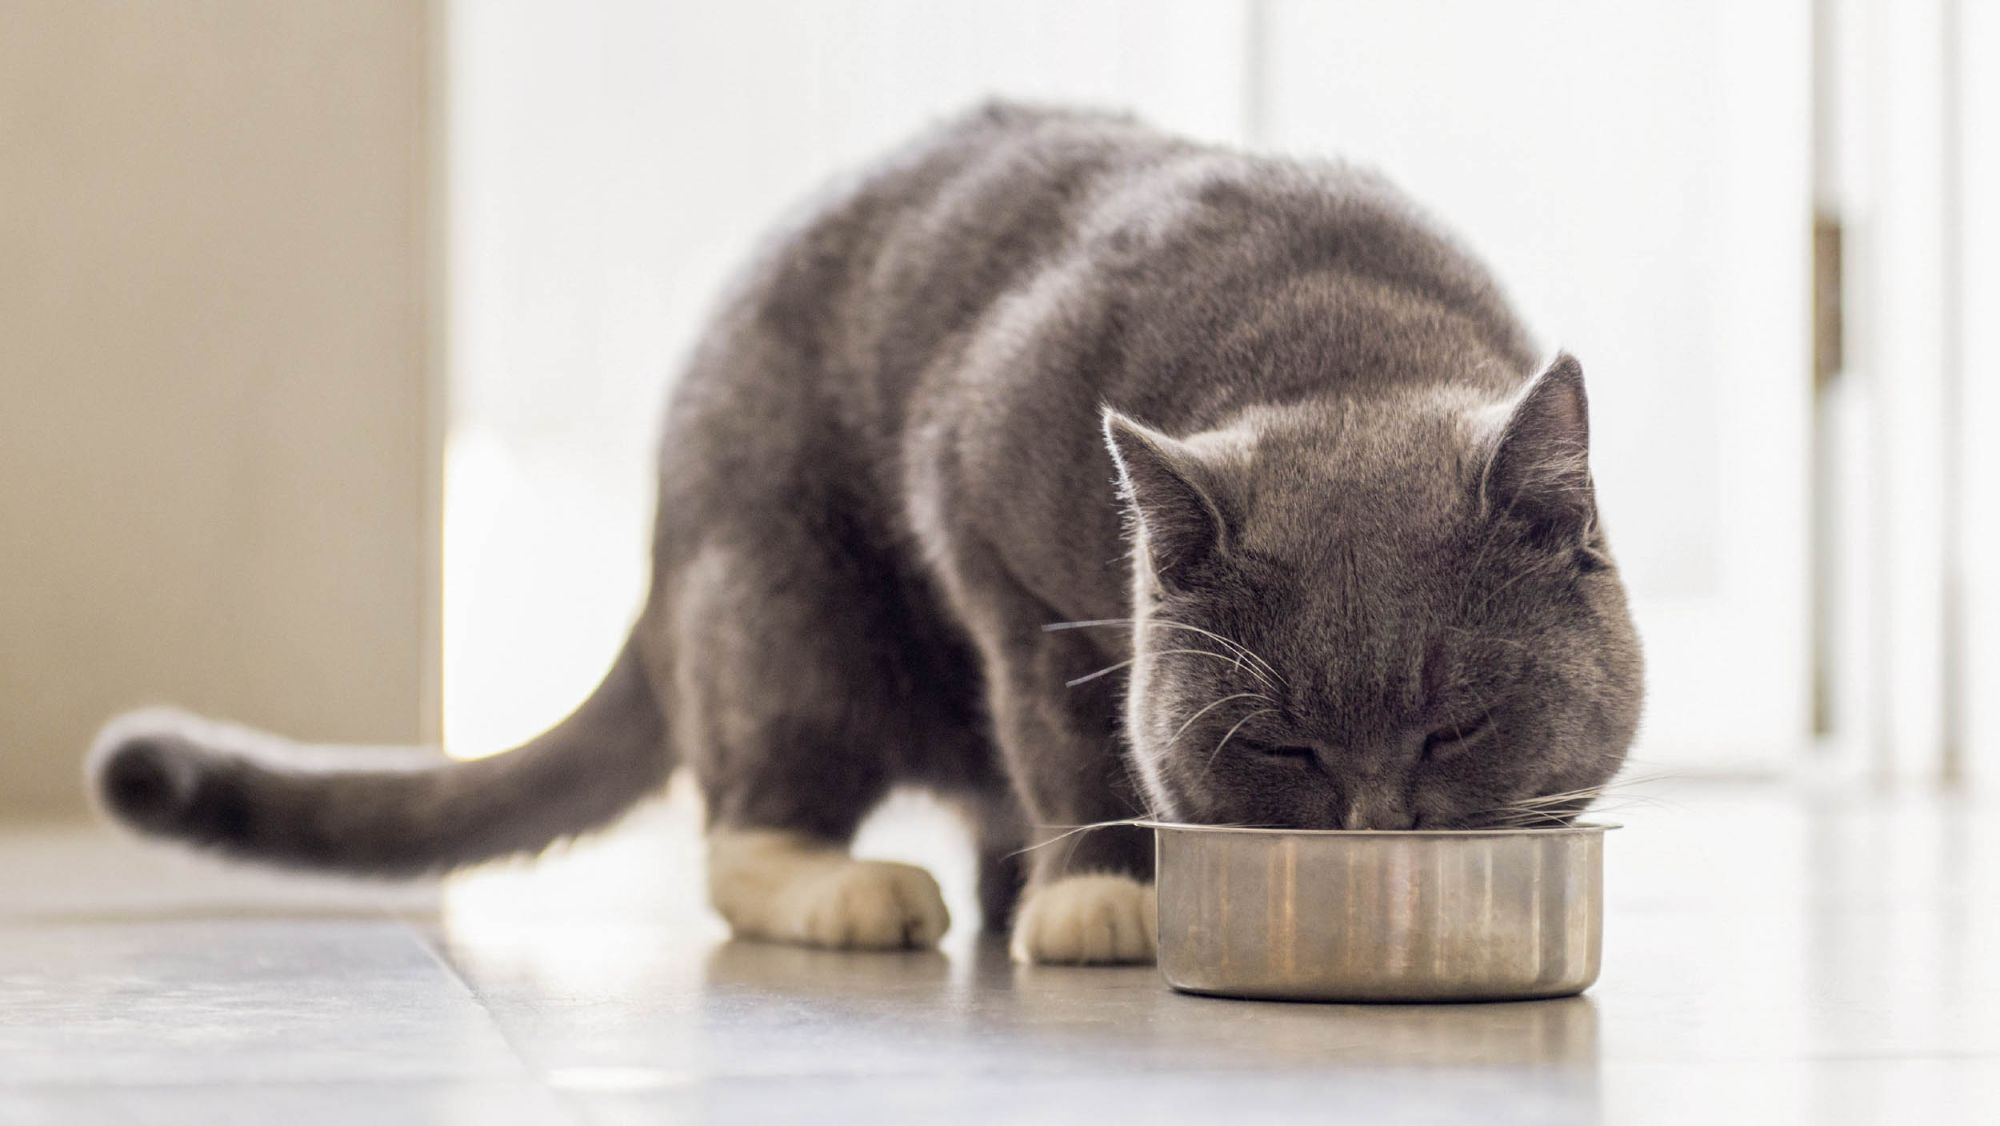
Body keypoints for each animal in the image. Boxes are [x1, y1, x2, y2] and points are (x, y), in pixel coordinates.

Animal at [86, 106, 1640, 964]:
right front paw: (1102, 894)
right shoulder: (987, 528)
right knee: (745, 819)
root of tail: (659, 561)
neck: (1338, 339)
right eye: (1280, 745)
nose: (1380, 830)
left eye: (1458, 724)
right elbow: (1066, 730)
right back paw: (865, 888)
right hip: (785, 600)